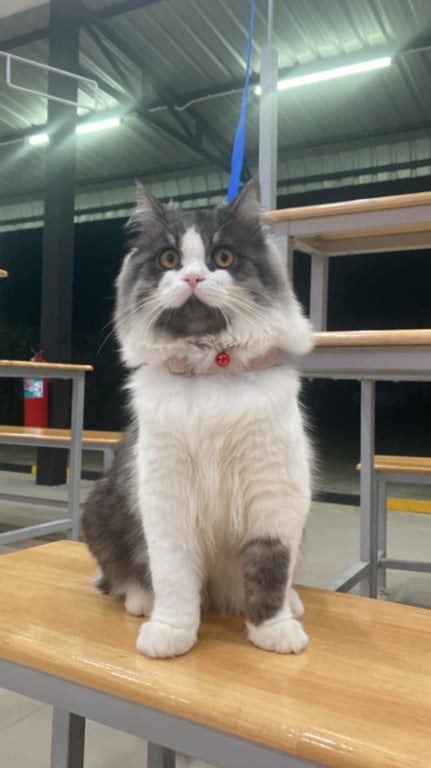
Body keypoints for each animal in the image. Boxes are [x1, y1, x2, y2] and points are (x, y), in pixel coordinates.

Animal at [82, 180, 314, 660]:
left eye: (222, 257)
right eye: (169, 260)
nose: (192, 277)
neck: (212, 368)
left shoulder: (275, 495)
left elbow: (271, 568)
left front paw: (274, 630)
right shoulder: (166, 498)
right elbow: (173, 575)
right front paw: (171, 630)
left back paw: (293, 604)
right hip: (97, 511)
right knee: (121, 577)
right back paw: (142, 600)